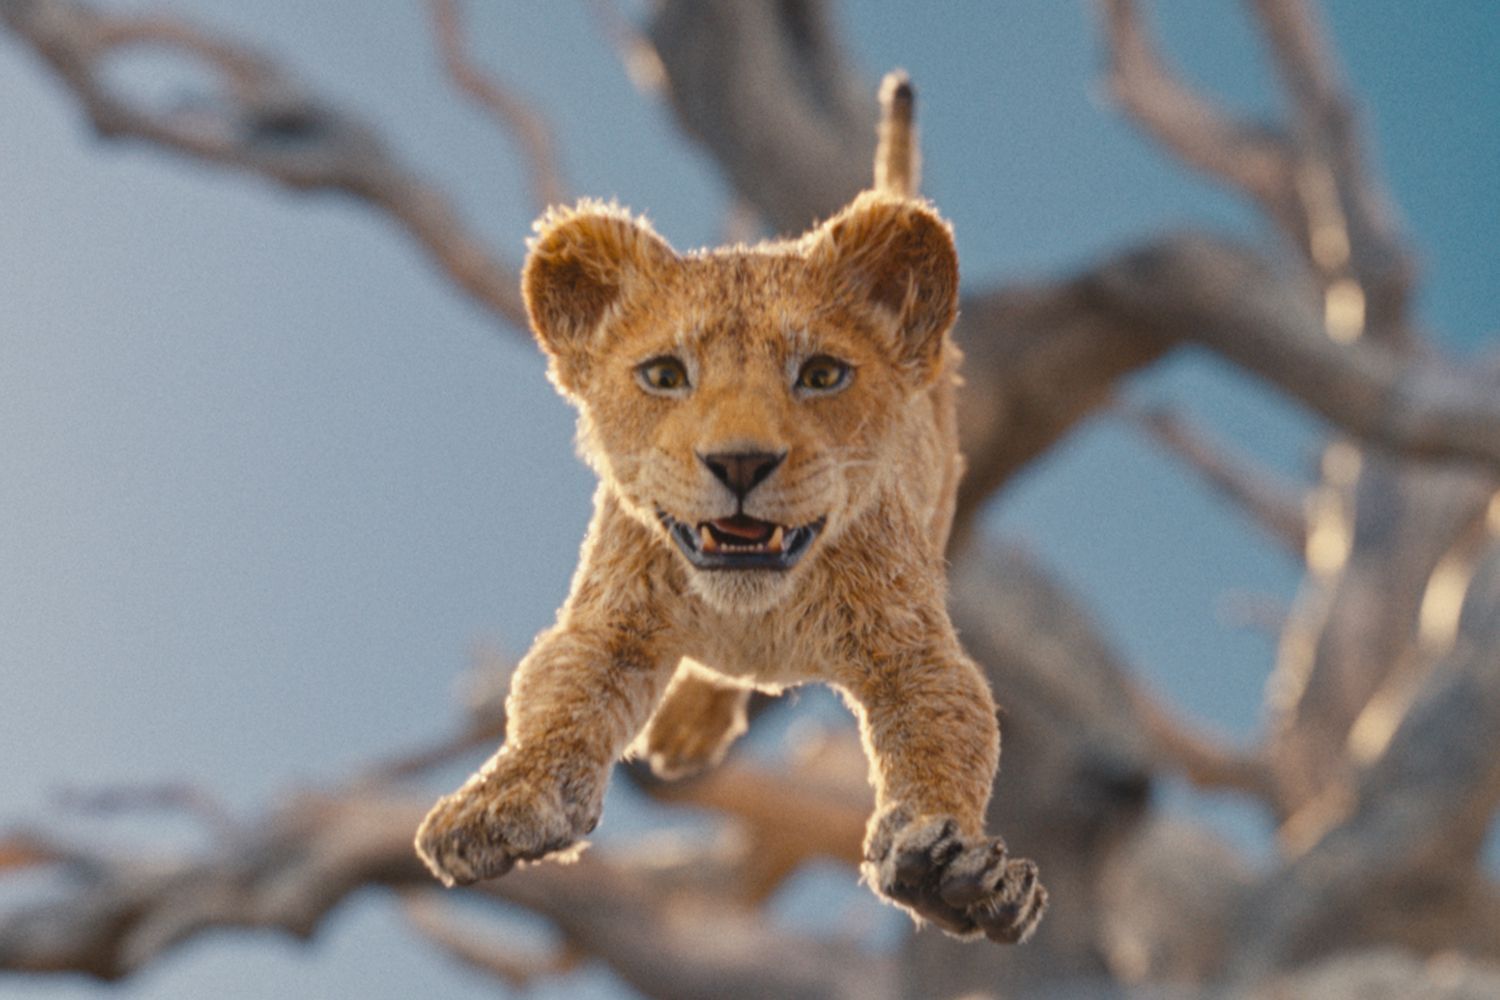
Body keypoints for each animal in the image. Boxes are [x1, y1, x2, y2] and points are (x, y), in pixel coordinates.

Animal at [415, 73, 1047, 944]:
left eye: (821, 375)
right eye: (663, 375)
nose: (740, 462)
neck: (754, 610)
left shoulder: (913, 649)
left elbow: (946, 735)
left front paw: (949, 869)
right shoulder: (609, 620)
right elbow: (555, 702)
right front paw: (499, 802)